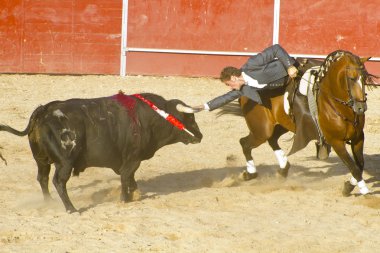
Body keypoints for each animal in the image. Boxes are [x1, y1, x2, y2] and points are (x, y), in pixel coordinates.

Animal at [0, 92, 203, 211]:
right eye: (189, 118)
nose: (200, 136)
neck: (152, 117)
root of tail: (44, 110)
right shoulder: (133, 158)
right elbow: (126, 176)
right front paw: (125, 199)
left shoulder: (129, 160)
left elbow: (130, 178)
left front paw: (135, 194)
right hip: (65, 162)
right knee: (58, 181)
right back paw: (71, 209)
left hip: (41, 159)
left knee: (42, 178)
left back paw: (49, 203)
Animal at [316, 50, 376, 196]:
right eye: (351, 78)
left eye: (364, 79)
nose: (361, 108)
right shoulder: (336, 141)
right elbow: (353, 166)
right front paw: (362, 189)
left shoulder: (358, 137)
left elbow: (360, 164)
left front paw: (350, 184)